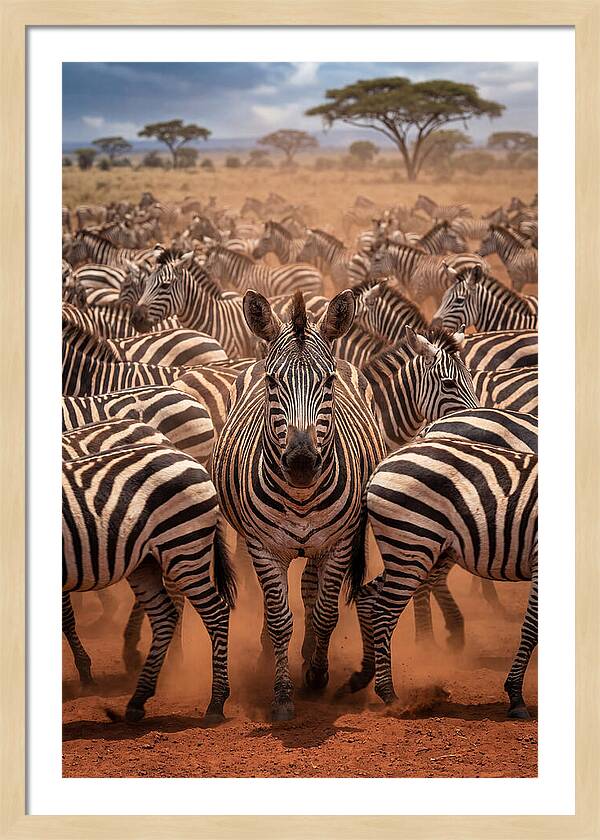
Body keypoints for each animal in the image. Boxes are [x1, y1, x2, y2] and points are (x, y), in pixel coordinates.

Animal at [63, 440, 236, 722]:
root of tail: (189, 458)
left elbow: (66, 617)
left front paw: (86, 674)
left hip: (183, 547)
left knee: (216, 613)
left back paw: (216, 703)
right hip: (147, 561)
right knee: (165, 614)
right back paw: (138, 698)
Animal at [213, 289, 385, 720]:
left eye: (328, 382)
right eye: (273, 382)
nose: (302, 462)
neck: (302, 497)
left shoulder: (340, 543)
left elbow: (326, 611)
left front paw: (317, 675)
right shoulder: (263, 547)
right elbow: (278, 618)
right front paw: (282, 694)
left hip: (324, 544)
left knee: (310, 586)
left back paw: (309, 654)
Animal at [353, 438, 538, 719]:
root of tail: (382, 464)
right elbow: (531, 628)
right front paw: (515, 696)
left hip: (413, 550)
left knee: (366, 597)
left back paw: (363, 675)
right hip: (412, 543)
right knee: (383, 613)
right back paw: (389, 695)